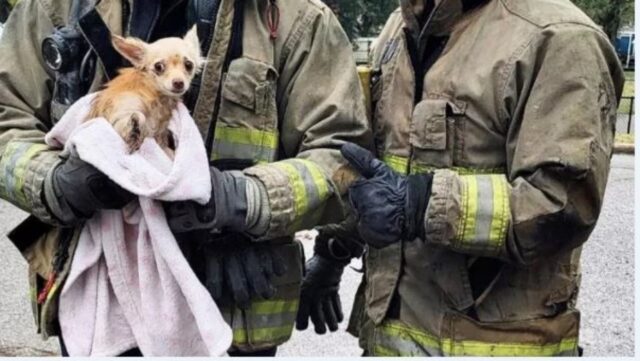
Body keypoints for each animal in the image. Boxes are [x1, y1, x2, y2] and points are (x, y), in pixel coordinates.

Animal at [87, 25, 202, 155]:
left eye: (189, 65)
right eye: (158, 67)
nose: (178, 83)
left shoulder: (161, 137)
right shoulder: (116, 116)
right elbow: (136, 117)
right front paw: (134, 131)